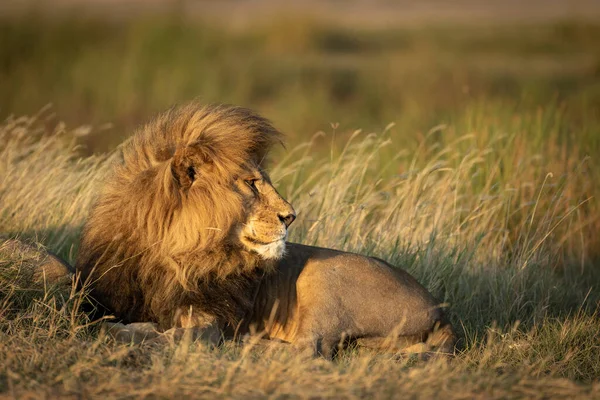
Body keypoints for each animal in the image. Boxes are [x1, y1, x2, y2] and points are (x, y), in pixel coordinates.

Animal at [77, 102, 458, 356]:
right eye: (251, 183)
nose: (291, 216)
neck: (170, 254)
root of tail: (440, 310)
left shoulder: (210, 319)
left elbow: (178, 336)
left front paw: (125, 332)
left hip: (323, 278)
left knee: (312, 350)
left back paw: (252, 344)